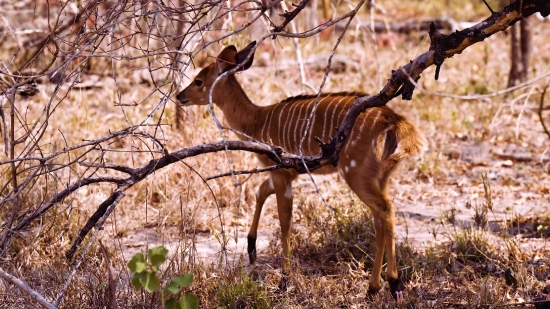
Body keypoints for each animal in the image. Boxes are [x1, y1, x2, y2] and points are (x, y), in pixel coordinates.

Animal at [179, 41, 430, 300]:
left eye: (198, 80)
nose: (179, 96)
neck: (256, 121)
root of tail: (396, 122)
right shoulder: (285, 173)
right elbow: (261, 192)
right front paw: (251, 247)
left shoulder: (280, 172)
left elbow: (284, 222)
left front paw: (284, 280)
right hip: (381, 176)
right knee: (380, 218)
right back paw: (373, 288)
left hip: (356, 173)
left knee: (386, 208)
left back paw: (394, 283)